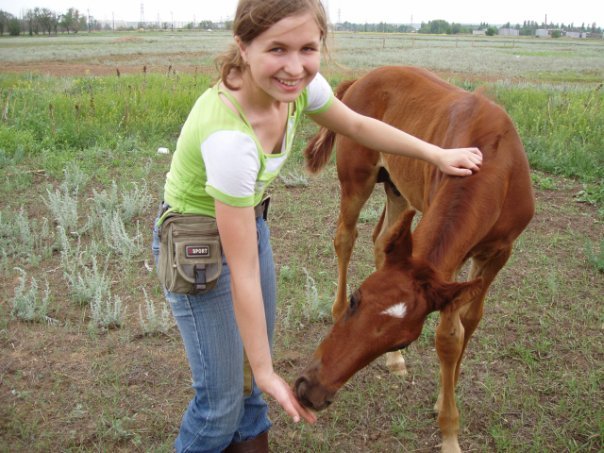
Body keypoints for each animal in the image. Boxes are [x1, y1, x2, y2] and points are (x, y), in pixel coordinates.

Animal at [294, 65, 536, 450]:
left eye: (403, 339)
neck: (496, 160)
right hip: (357, 180)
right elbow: (449, 334)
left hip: (397, 188)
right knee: (345, 238)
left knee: (381, 241)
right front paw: (449, 431)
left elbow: (464, 325)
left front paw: (445, 401)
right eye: (355, 300)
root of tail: (361, 79)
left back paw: (395, 364)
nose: (310, 392)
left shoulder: (498, 253)